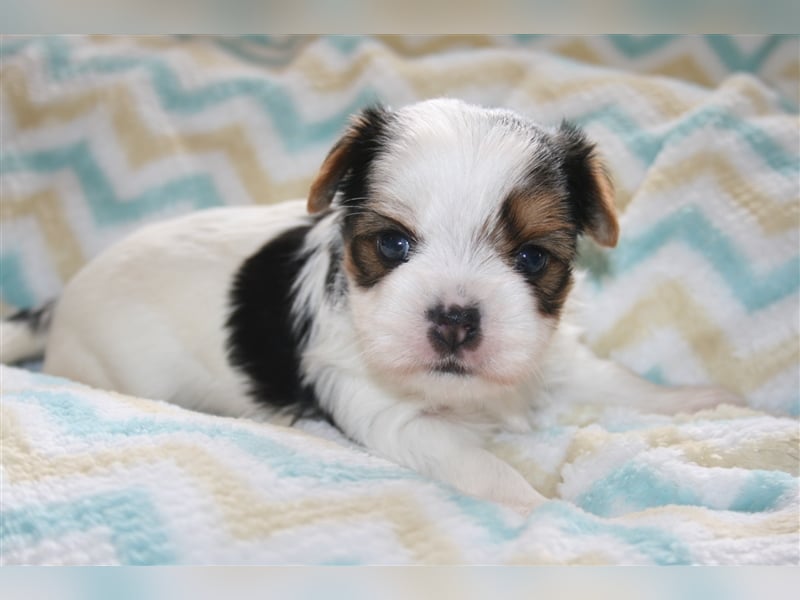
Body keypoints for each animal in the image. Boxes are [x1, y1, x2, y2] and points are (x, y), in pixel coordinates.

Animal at [1, 101, 736, 512]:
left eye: (531, 258)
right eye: (393, 244)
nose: (454, 318)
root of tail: (60, 304)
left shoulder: (544, 354)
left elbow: (609, 378)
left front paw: (695, 400)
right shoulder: (387, 412)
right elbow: (477, 464)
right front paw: (544, 510)